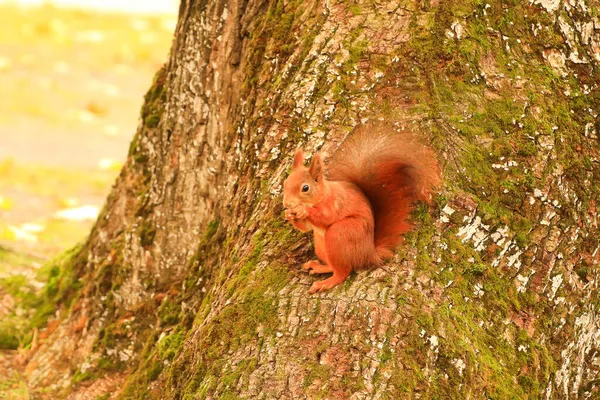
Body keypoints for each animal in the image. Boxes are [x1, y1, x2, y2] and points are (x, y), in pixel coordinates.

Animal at [282, 121, 440, 294]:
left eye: (305, 188)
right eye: (285, 182)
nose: (286, 204)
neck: (322, 194)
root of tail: (369, 254)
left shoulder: (336, 202)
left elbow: (326, 216)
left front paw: (303, 210)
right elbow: (305, 228)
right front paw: (289, 215)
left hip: (340, 233)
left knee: (343, 272)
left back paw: (325, 283)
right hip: (321, 244)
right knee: (334, 266)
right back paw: (319, 267)